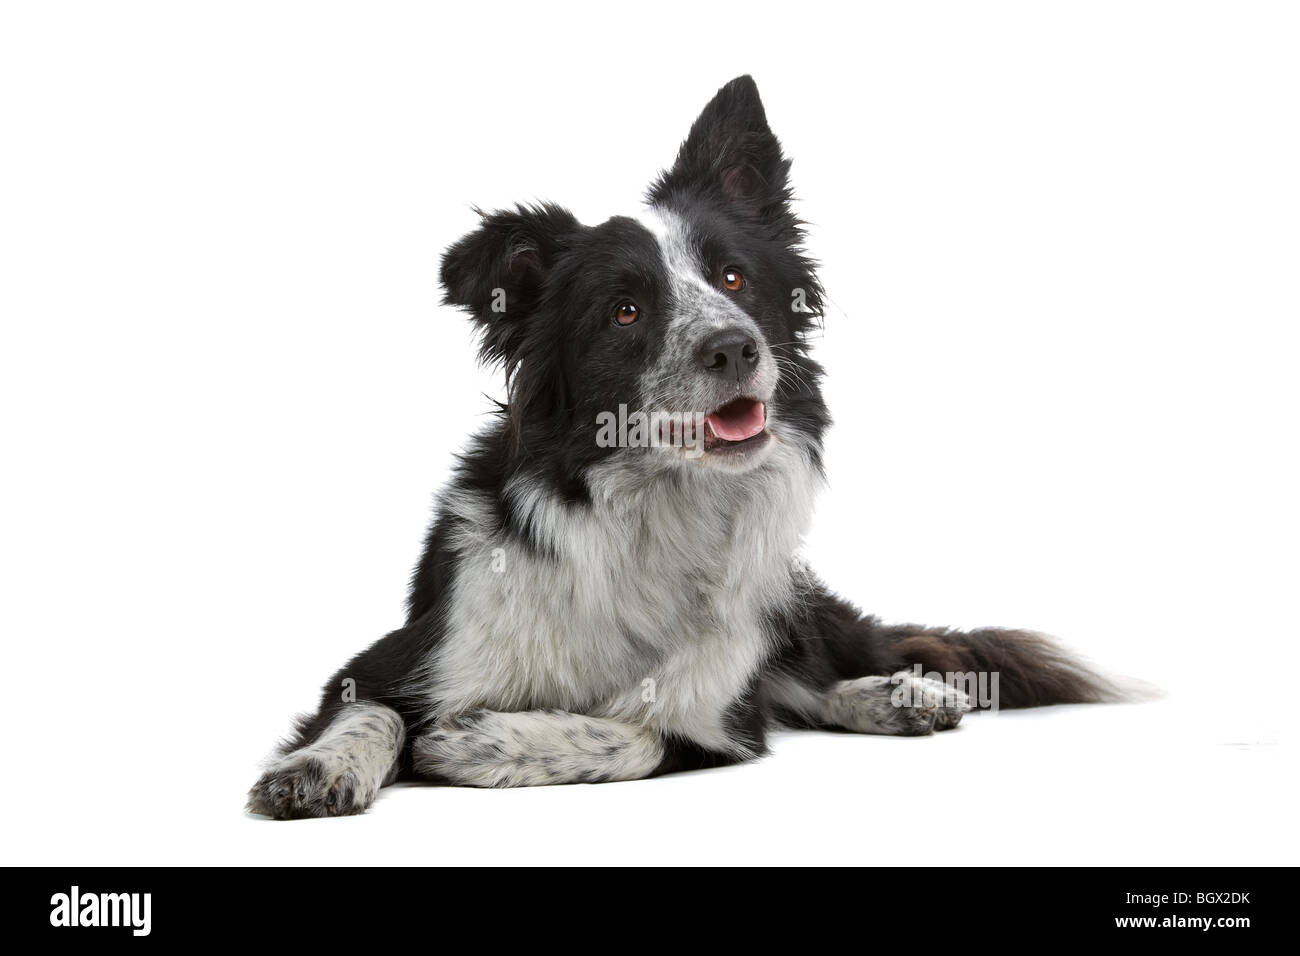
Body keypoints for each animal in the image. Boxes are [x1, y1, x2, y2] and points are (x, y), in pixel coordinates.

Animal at [245, 78, 1118, 816]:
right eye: (626, 311)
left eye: (733, 280)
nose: (734, 347)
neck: (657, 504)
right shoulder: (396, 657)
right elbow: (371, 714)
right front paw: (318, 768)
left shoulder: (715, 720)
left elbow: (633, 733)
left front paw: (479, 742)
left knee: (824, 669)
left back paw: (905, 694)